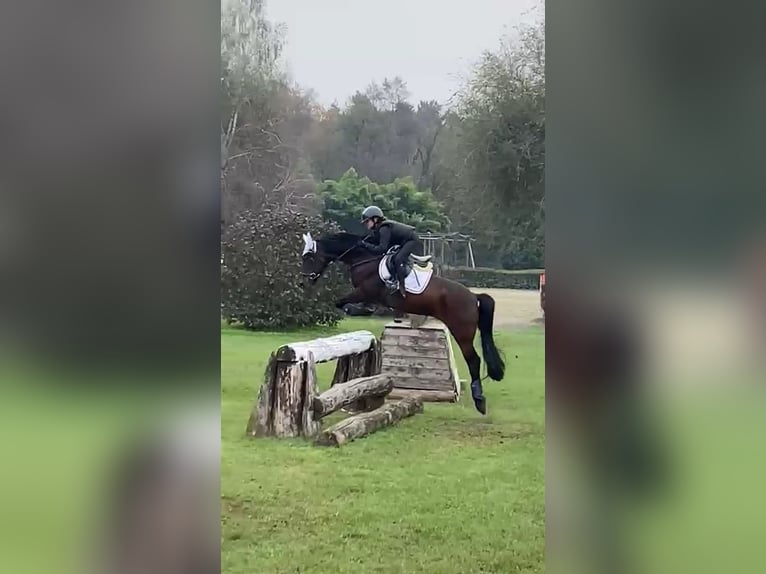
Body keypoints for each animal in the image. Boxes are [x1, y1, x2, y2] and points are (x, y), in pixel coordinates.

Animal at [301, 231, 505, 414]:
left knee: (474, 360)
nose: (303, 282)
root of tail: (473, 297)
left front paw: (354, 310)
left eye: (309, 257)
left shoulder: (364, 292)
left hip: (461, 331)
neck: (365, 260)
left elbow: (342, 302)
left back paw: (479, 400)